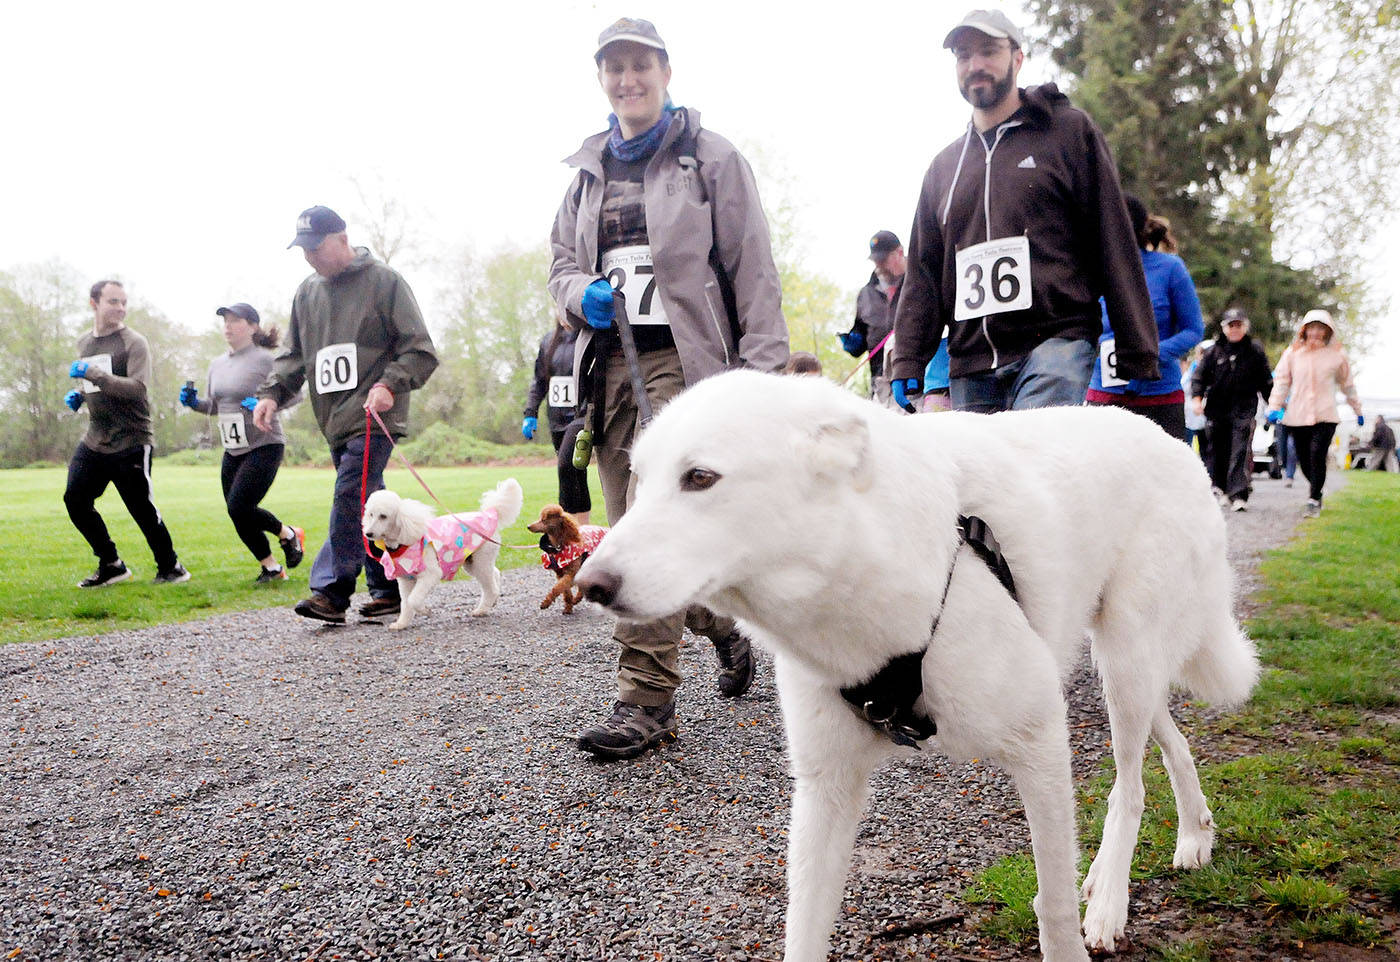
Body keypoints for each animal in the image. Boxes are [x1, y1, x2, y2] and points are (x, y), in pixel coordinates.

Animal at [579, 369, 1260, 962]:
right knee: (1167, 739)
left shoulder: (1040, 745)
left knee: (1130, 784)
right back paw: (1194, 834)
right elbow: (803, 930)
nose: (588, 585)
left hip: (1125, 660)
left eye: (700, 477)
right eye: (639, 480)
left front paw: (1075, 921)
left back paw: (1110, 899)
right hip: (1120, 667)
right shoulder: (827, 787)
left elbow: (1053, 909)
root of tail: (1172, 442)